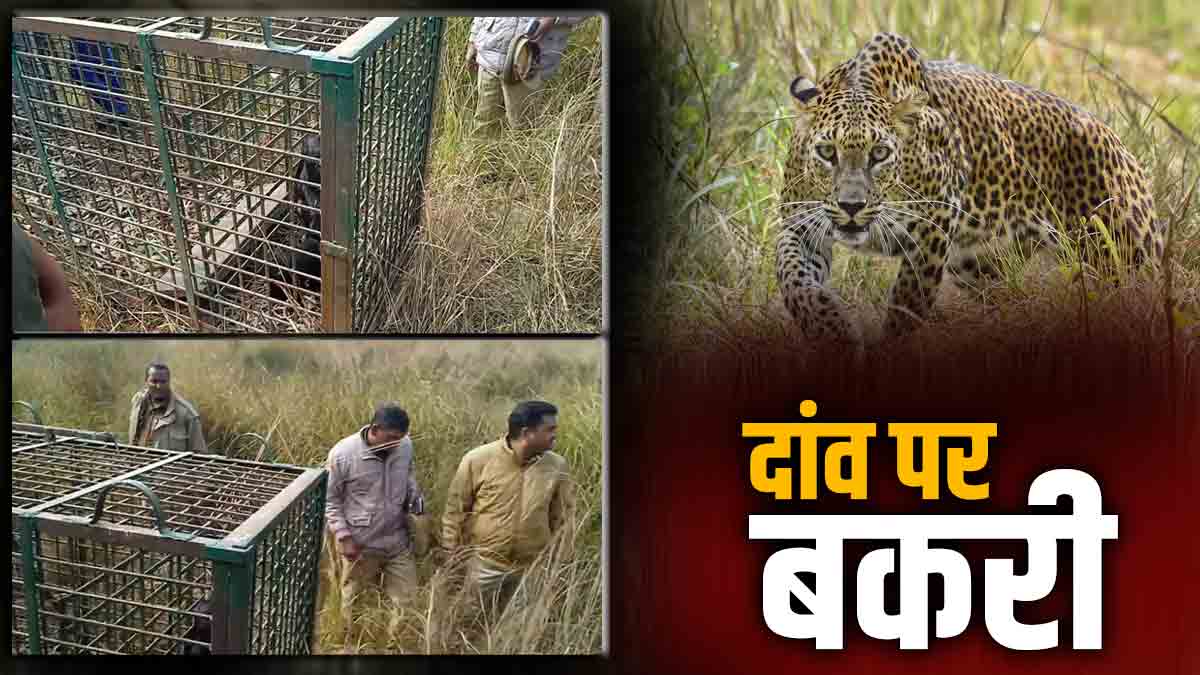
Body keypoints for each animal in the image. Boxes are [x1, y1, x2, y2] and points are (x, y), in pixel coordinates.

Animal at [777, 32, 1162, 342]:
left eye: (880, 153)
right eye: (827, 152)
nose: (851, 206)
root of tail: (1118, 141)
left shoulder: (932, 230)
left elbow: (907, 302)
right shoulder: (800, 227)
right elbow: (793, 279)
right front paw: (829, 327)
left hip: (1124, 256)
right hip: (981, 266)